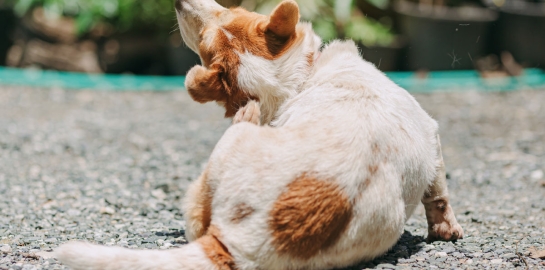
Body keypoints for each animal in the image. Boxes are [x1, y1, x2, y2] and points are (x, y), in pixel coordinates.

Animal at [56, 0, 464, 270]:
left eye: (230, 12)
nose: (177, 0)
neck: (295, 83)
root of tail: (238, 244)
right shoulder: (432, 134)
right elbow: (438, 192)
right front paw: (446, 230)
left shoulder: (430, 134)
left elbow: (438, 194)